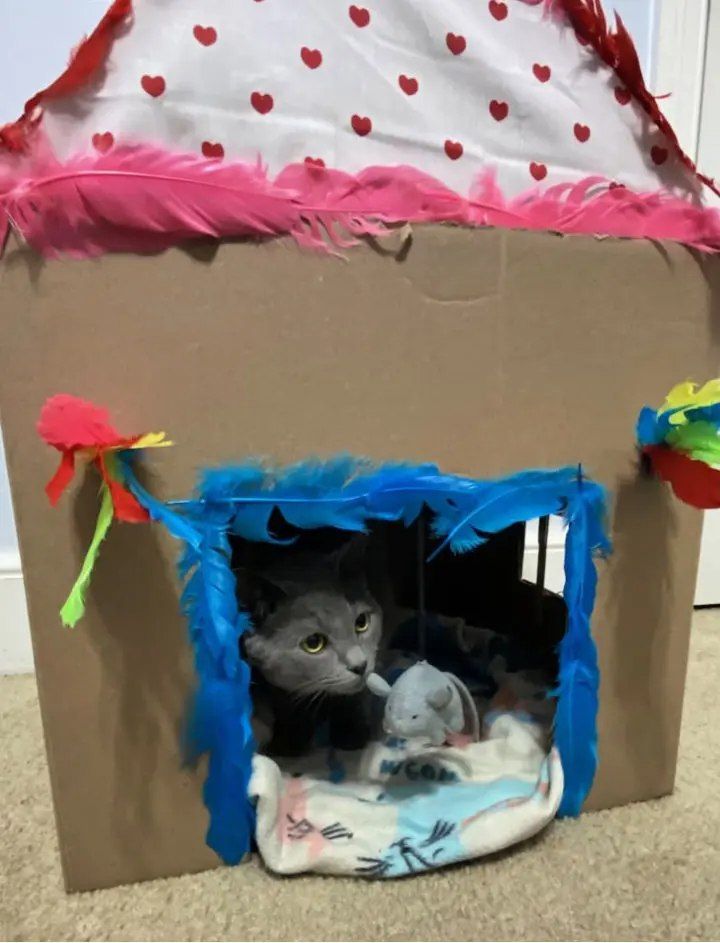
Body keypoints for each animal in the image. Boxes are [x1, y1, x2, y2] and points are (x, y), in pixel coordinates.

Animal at [240, 544, 382, 756]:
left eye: (361, 623)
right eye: (314, 643)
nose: (360, 665)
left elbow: (355, 697)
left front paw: (352, 734)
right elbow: (287, 705)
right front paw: (289, 741)